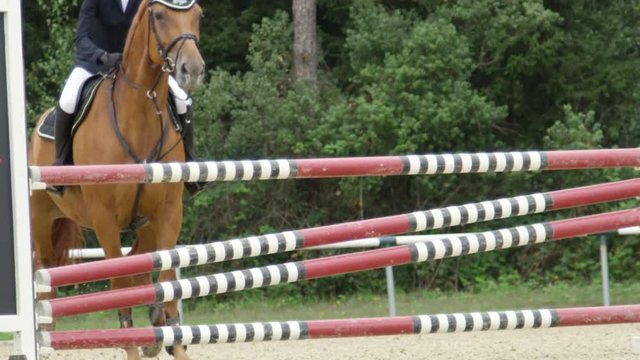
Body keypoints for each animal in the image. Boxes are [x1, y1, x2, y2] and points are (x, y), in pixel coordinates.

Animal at [28, 1, 204, 358]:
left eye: (198, 16)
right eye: (160, 15)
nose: (191, 71)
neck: (139, 112)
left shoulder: (168, 213)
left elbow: (166, 274)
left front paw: (171, 337)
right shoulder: (105, 220)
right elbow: (119, 284)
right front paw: (133, 343)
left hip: (146, 224)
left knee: (138, 259)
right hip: (41, 215)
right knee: (46, 266)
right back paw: (47, 338)